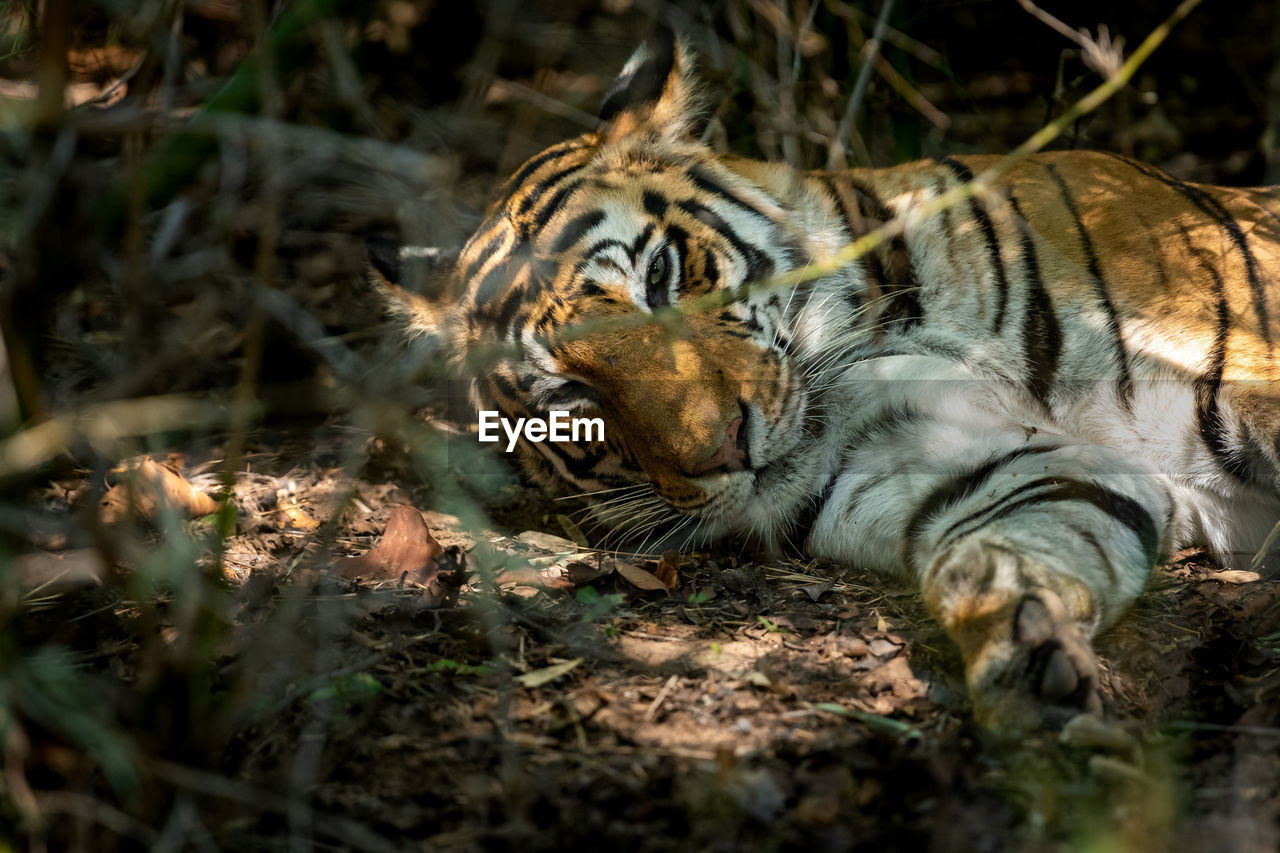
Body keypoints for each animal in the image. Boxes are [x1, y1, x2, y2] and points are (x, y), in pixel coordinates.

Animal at [373, 38, 1280, 722]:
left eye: (660, 277)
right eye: (573, 401)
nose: (724, 449)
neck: (873, 344)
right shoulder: (993, 463)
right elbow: (1014, 542)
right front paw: (1026, 651)